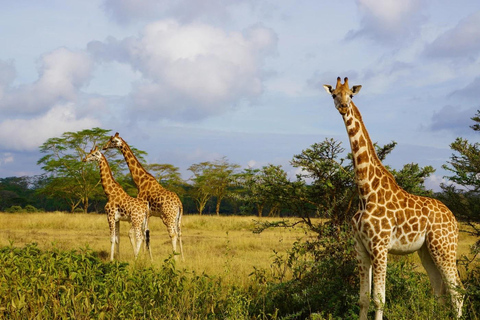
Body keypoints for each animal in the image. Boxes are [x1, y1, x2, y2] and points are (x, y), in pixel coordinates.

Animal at [102, 132, 184, 260]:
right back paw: (182, 259)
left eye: (113, 141)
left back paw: (175, 258)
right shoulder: (147, 213)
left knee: (173, 234)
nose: (104, 147)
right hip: (177, 218)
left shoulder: (144, 210)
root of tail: (179, 203)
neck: (140, 181)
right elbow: (146, 234)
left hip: (168, 216)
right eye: (110, 139)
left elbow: (143, 234)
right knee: (179, 233)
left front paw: (143, 256)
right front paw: (146, 257)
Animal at [322, 77, 462, 320]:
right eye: (334, 94)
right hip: (427, 250)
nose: (343, 107)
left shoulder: (380, 246)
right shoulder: (360, 248)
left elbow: (379, 299)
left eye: (351, 94)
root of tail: (454, 219)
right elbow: (363, 299)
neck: (365, 192)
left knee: (457, 291)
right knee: (439, 290)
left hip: (444, 246)